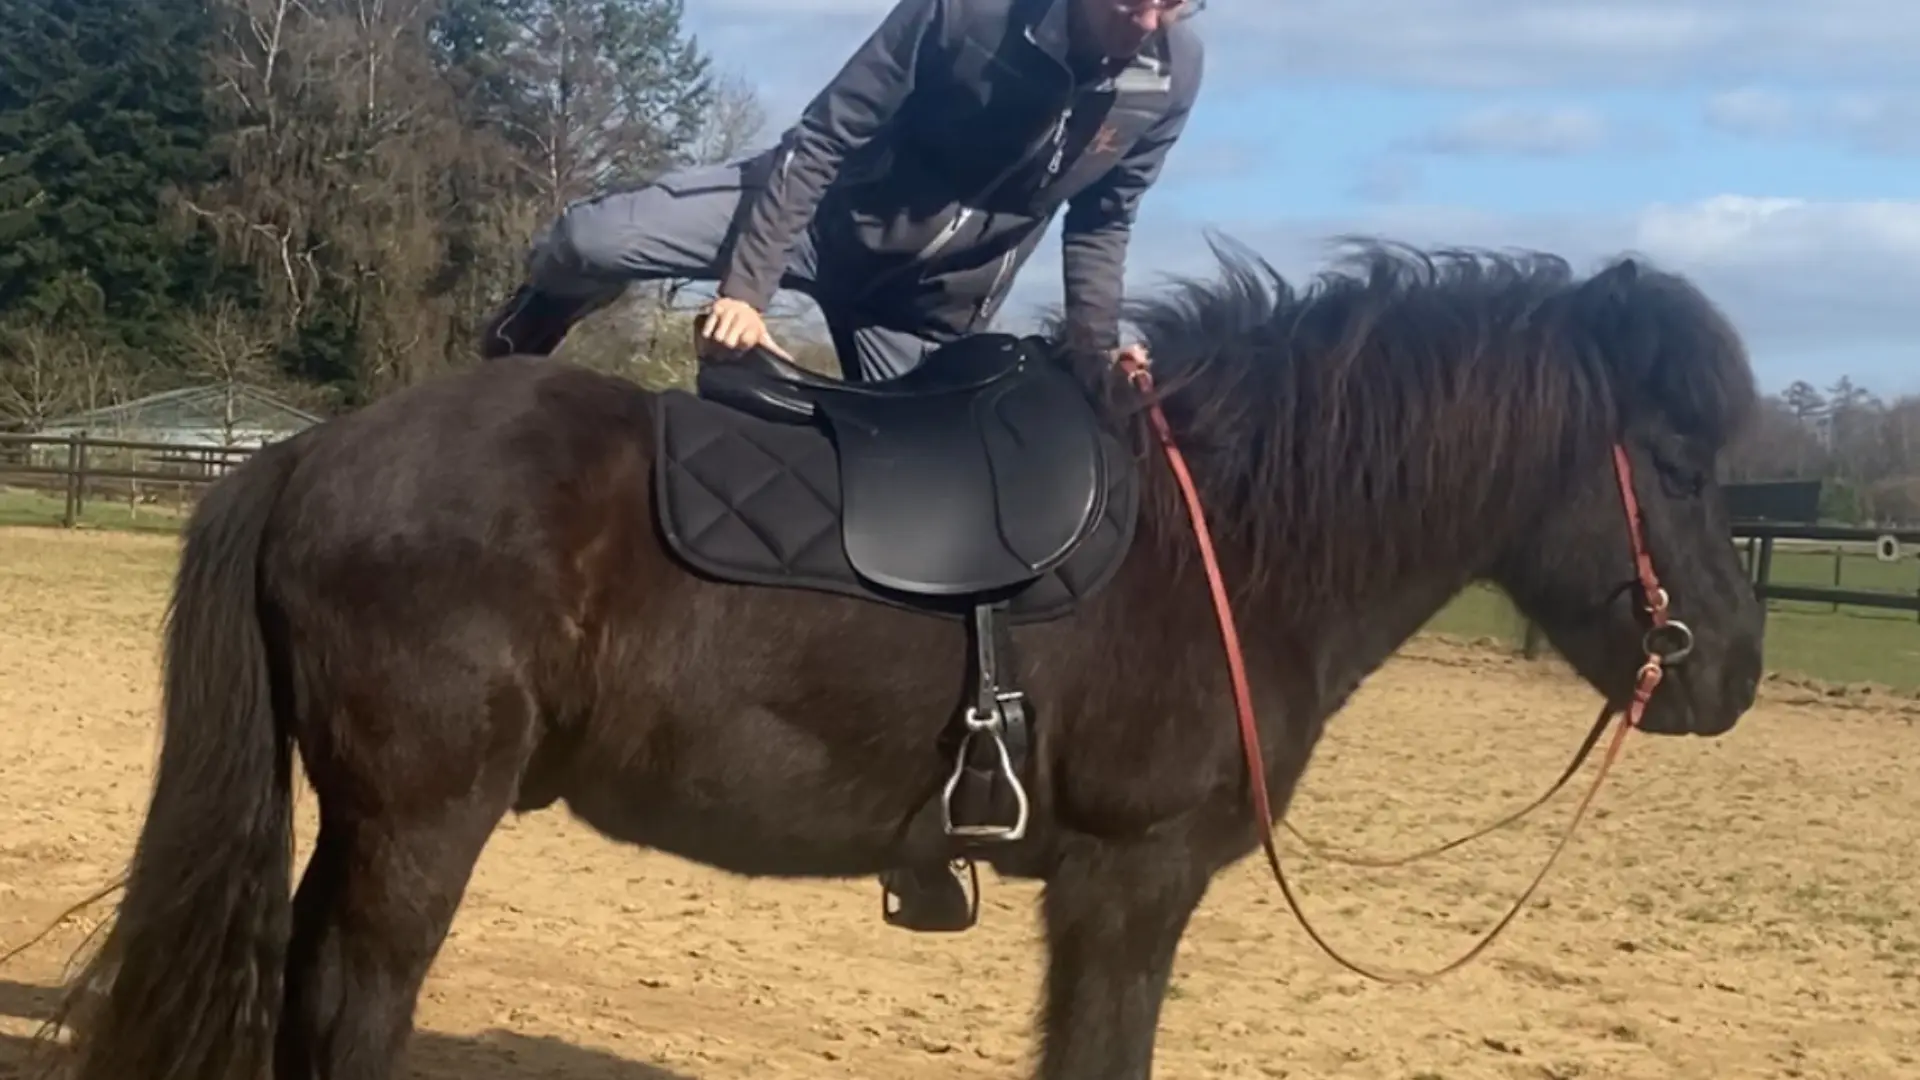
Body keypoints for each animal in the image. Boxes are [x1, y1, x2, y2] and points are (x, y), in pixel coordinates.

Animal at [48, 238, 1766, 1080]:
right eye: (1681, 463)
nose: (1730, 678)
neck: (1232, 540)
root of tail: (311, 453)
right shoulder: (1131, 885)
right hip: (418, 825)